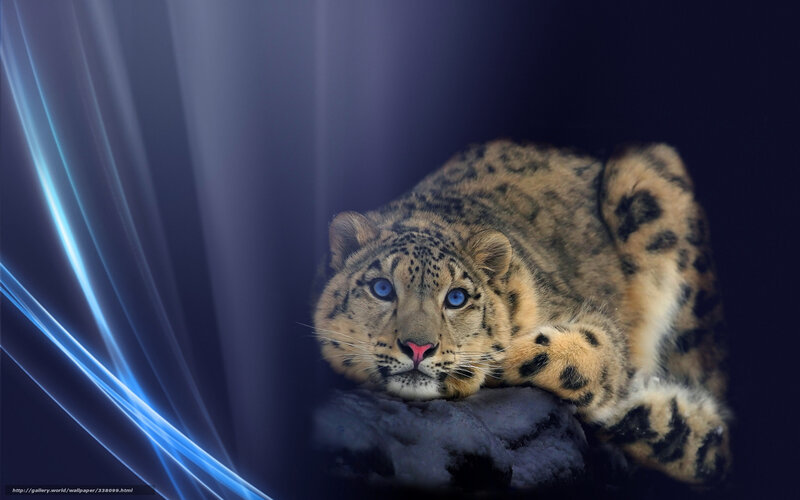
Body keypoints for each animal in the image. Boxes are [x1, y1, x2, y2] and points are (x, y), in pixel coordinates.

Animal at [312, 140, 729, 485]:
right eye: (382, 288)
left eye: (456, 298)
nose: (419, 348)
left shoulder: (592, 318)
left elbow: (591, 355)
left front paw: (497, 359)